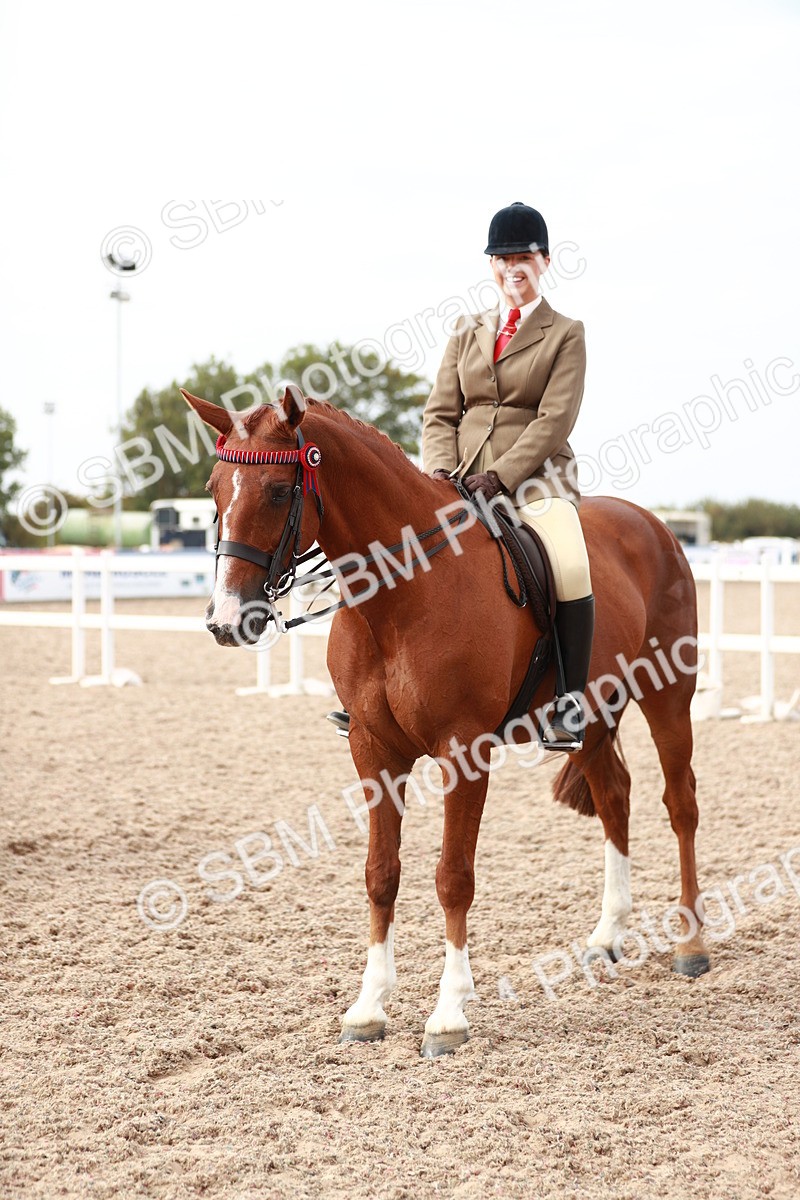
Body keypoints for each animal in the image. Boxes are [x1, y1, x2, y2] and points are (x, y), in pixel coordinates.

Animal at [182, 384, 710, 1057]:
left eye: (278, 491)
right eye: (213, 488)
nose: (227, 621)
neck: (401, 595)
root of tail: (652, 524)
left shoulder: (464, 751)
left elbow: (453, 877)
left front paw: (449, 1015)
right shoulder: (373, 750)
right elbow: (381, 874)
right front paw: (368, 1008)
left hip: (669, 694)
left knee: (681, 802)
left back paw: (691, 944)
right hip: (592, 713)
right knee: (615, 797)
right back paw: (606, 937)